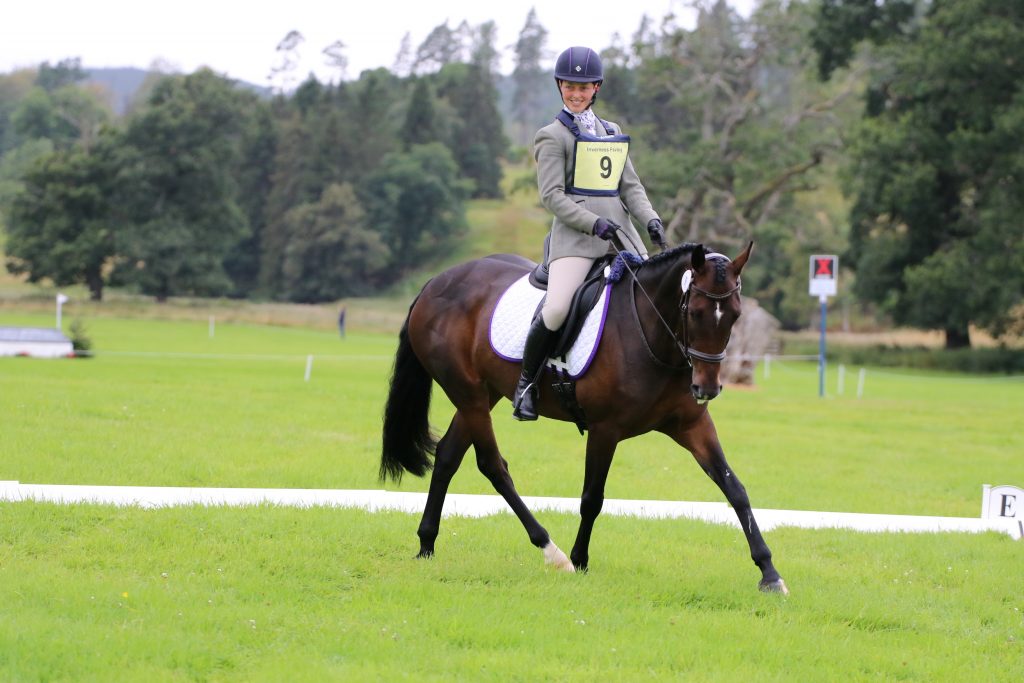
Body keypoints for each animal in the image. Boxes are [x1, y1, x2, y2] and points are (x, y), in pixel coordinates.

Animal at [380, 240, 786, 593]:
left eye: (734, 316)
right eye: (695, 312)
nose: (706, 388)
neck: (652, 334)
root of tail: (436, 282)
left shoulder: (693, 426)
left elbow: (735, 489)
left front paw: (769, 572)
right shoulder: (605, 429)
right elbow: (592, 497)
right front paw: (580, 560)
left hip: (481, 395)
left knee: (448, 455)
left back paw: (427, 544)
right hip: (470, 397)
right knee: (492, 465)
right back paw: (552, 551)